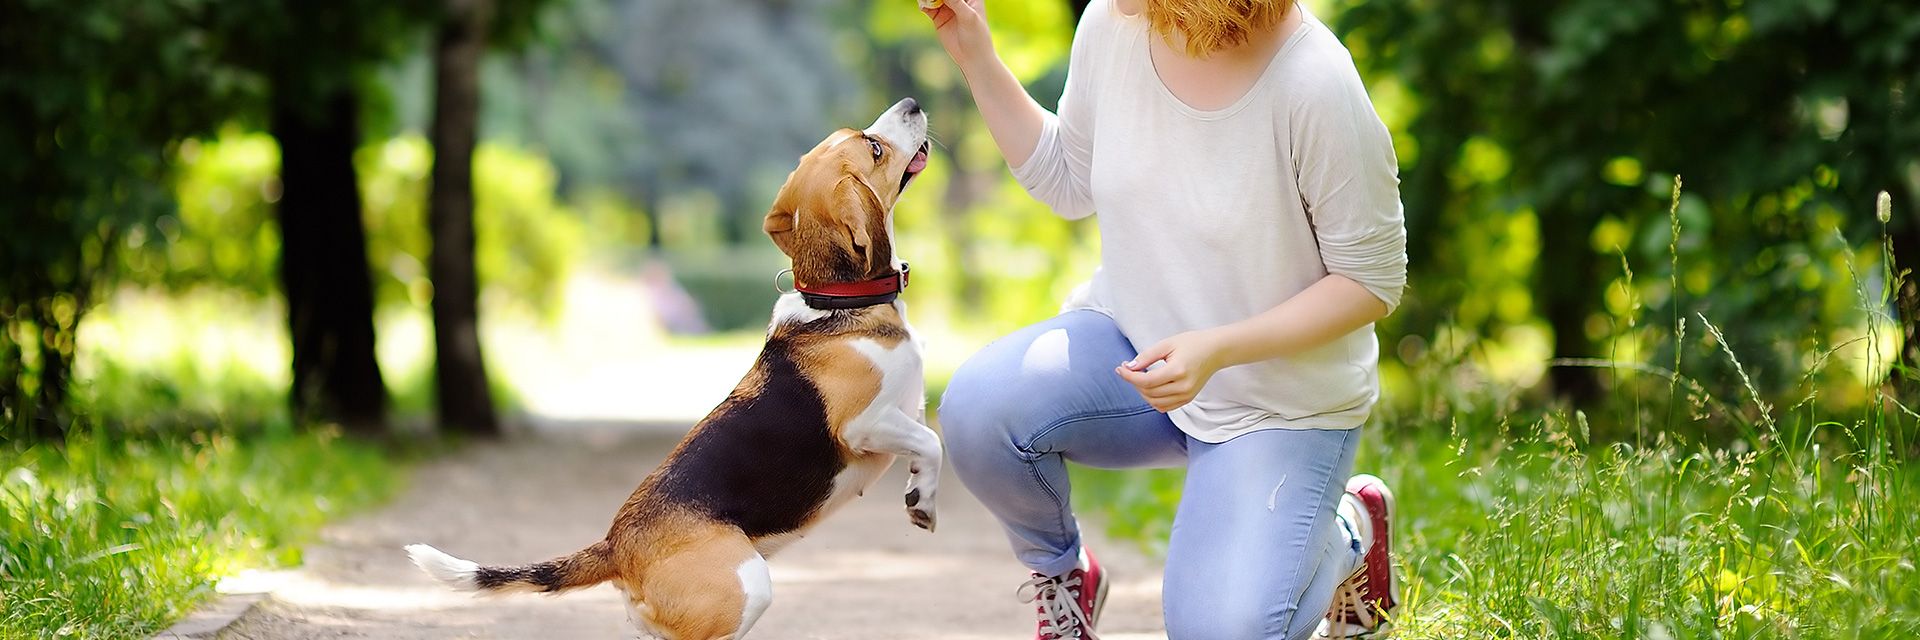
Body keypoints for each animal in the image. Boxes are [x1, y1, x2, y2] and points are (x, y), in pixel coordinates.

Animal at [407, 96, 936, 638]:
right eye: (874, 148)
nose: (912, 104)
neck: (836, 302)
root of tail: (616, 546)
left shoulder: (907, 411)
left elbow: (926, 442)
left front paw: (920, 492)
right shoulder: (864, 425)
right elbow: (931, 441)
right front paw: (923, 503)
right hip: (746, 587)